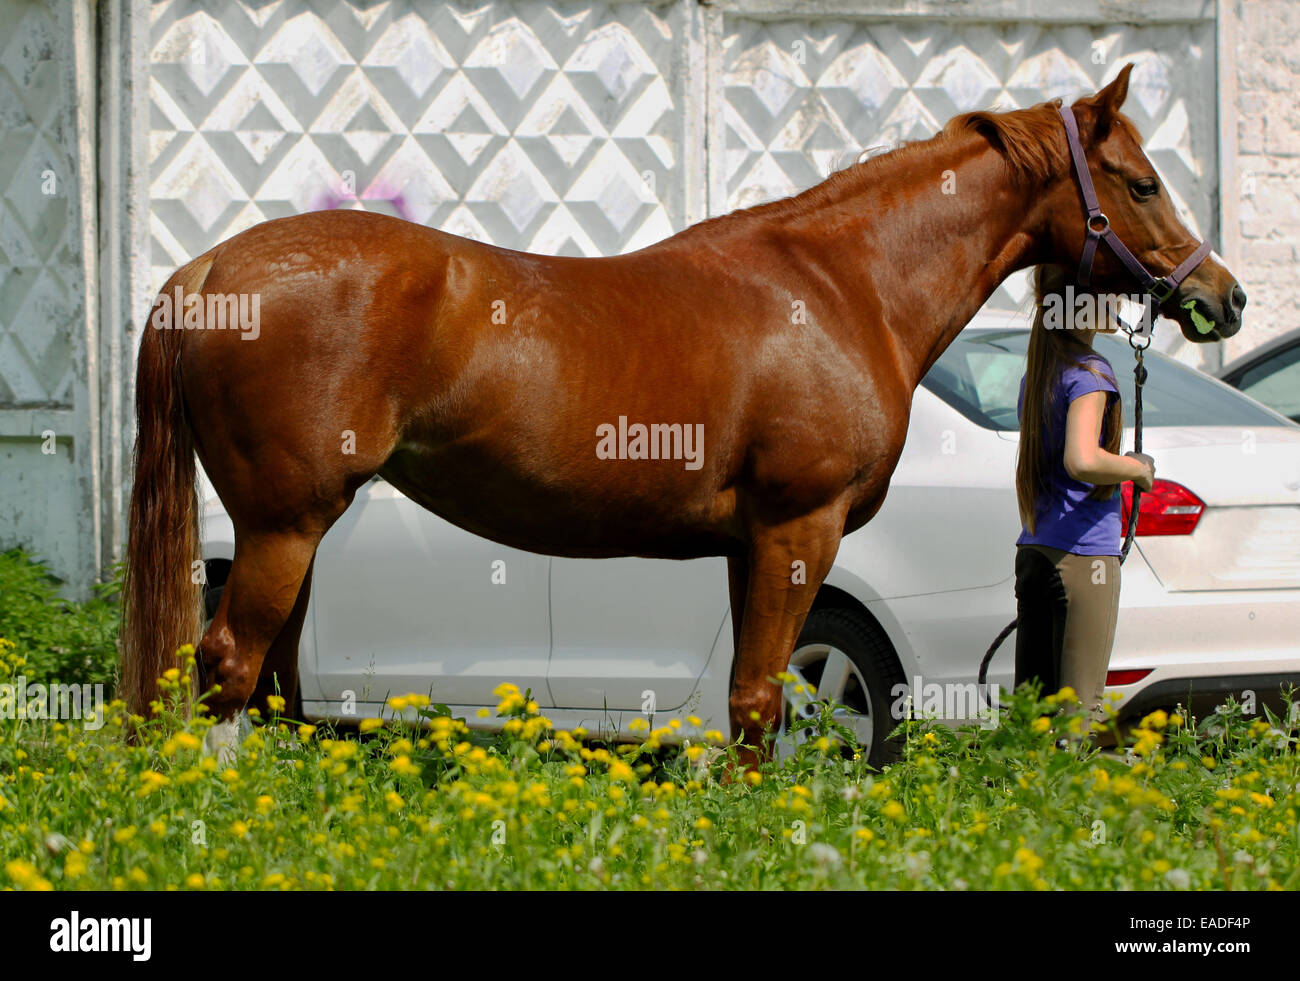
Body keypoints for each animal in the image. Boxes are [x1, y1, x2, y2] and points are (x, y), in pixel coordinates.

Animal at [124, 65, 1248, 764]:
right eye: (1141, 182)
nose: (1224, 297)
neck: (840, 288)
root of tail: (211, 268)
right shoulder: (797, 532)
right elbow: (761, 702)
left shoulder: (750, 547)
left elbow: (754, 701)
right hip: (282, 527)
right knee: (226, 667)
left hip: (293, 536)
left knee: (270, 682)